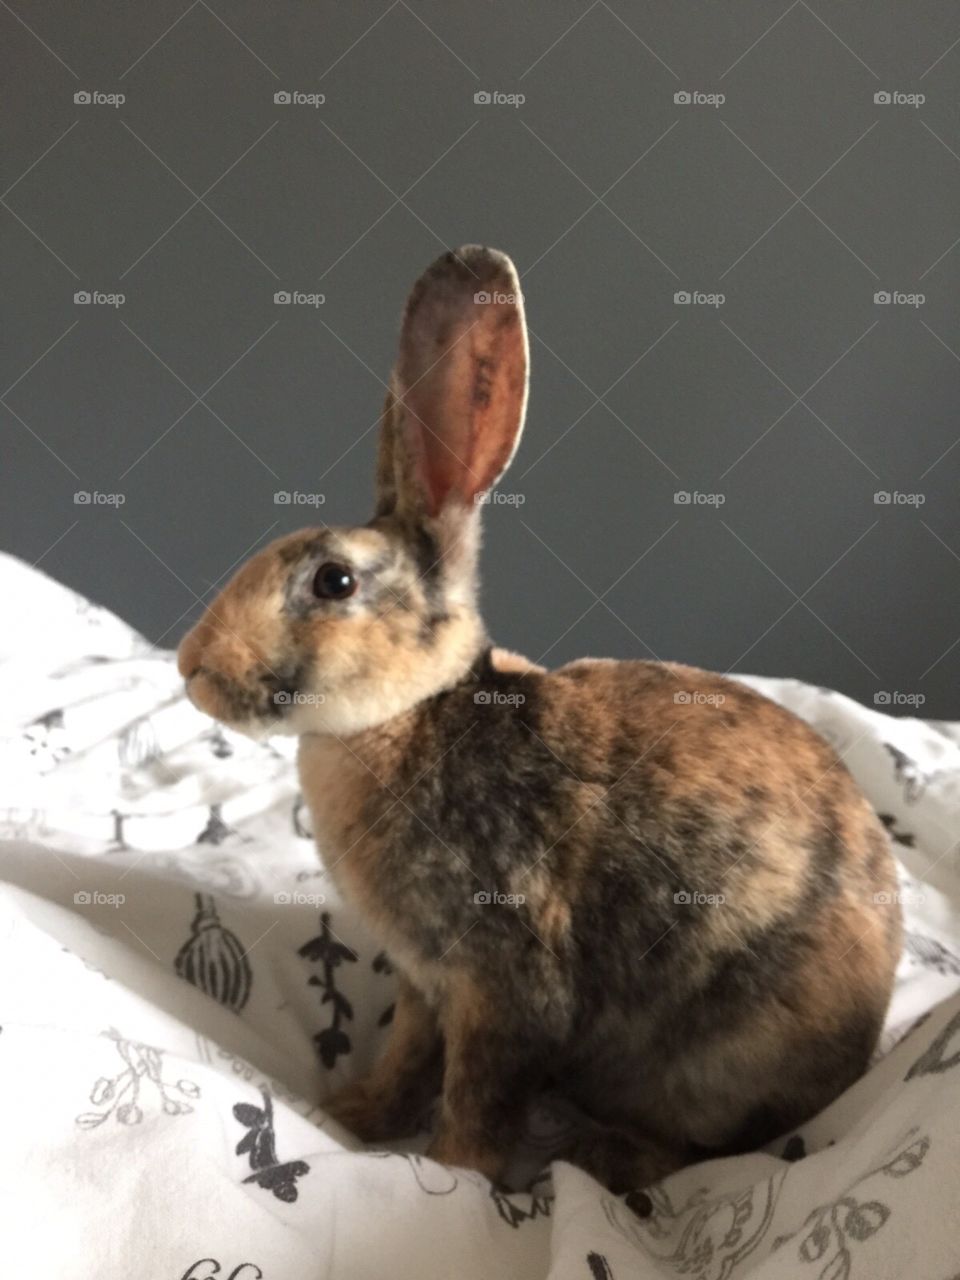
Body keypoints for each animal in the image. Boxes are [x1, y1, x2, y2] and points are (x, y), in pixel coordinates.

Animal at [177, 245, 902, 1195]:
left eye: (334, 582)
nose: (191, 667)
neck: (409, 718)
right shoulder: (426, 981)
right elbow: (409, 1059)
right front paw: (351, 1117)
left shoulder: (505, 984)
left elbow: (479, 1095)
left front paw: (452, 1174)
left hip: (721, 1063)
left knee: (705, 1148)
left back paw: (607, 1156)